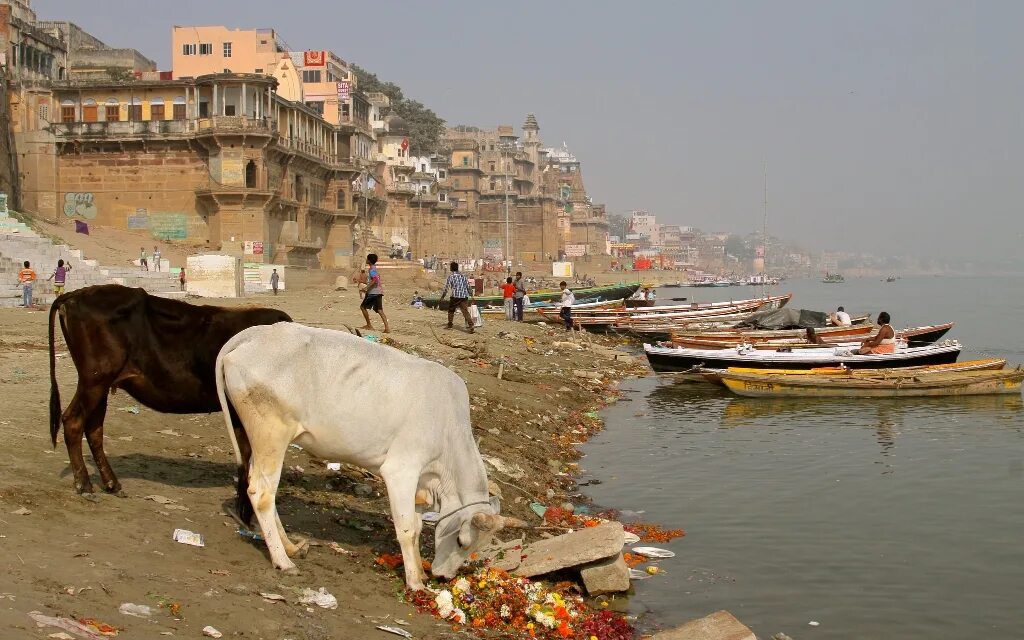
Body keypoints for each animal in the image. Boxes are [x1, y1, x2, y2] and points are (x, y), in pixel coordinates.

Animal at [48, 284, 292, 493]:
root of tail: (75, 294)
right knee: (73, 421)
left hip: (101, 384)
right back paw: (83, 484)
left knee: (94, 429)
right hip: (95, 379)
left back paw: (111, 483)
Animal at [212, 321, 524, 589]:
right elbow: (407, 528)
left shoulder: (420, 484)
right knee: (261, 493)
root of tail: (250, 336)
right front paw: (415, 582)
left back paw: (290, 546)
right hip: (271, 436)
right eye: (461, 541)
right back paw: (283, 560)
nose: (444, 576)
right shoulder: (401, 471)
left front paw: (420, 572)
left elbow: (417, 525)